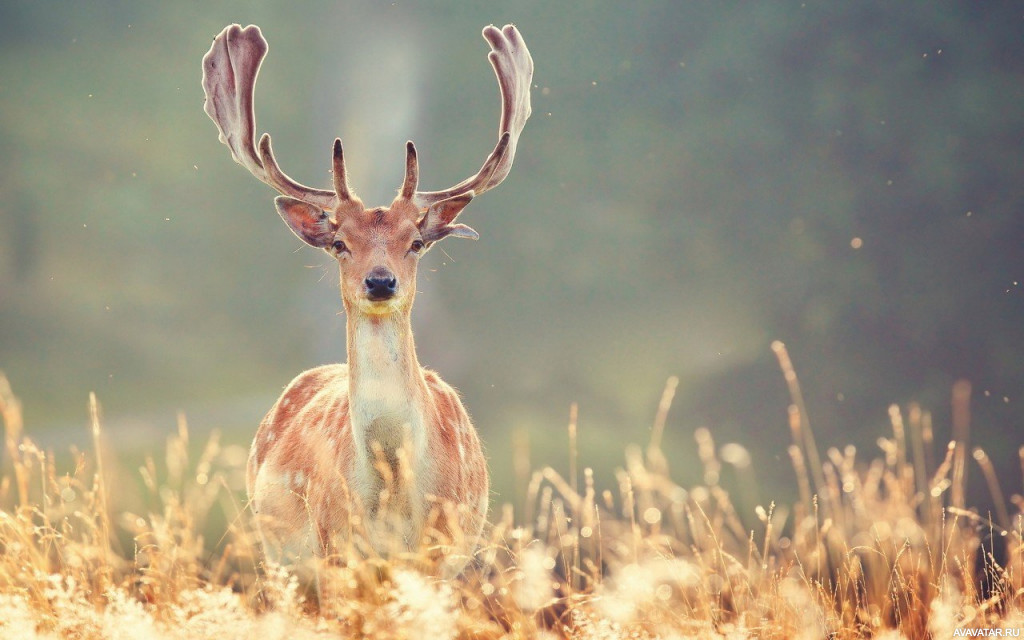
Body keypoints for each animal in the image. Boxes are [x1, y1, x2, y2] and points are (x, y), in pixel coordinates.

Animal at [201, 22, 536, 577]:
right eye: (340, 243)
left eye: (416, 242)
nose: (380, 282)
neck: (393, 491)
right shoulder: (335, 547)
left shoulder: (444, 553)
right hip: (277, 555)